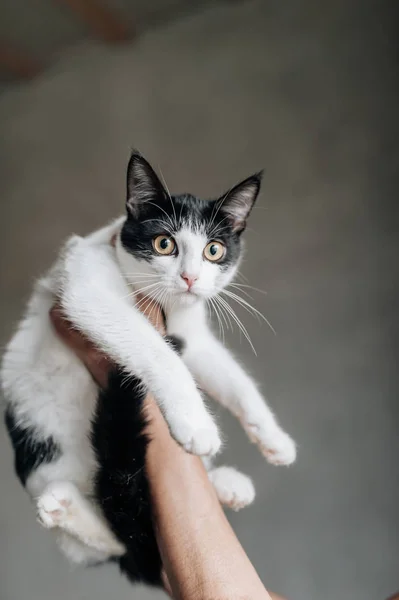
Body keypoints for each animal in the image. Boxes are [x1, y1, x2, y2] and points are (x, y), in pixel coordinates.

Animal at [0, 152, 296, 584]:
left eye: (214, 250)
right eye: (164, 243)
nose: (189, 278)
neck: (168, 308)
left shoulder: (194, 335)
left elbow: (233, 378)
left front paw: (273, 437)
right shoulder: (88, 288)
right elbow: (160, 353)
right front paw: (196, 425)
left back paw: (226, 484)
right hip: (44, 448)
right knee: (117, 544)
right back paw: (65, 507)